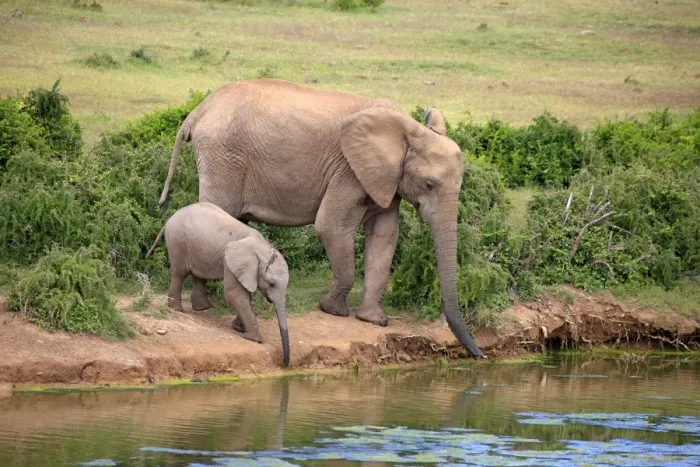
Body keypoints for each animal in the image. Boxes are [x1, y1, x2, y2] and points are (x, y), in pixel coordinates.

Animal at [147, 201, 290, 366]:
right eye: (271, 283)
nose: (285, 363)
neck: (262, 247)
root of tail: (173, 215)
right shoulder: (232, 262)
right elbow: (233, 293)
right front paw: (254, 339)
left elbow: (243, 293)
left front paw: (239, 328)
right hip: (177, 240)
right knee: (179, 274)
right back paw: (177, 309)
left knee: (199, 274)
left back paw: (202, 308)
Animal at [157, 78, 485, 358]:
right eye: (429, 185)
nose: (480, 354)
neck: (409, 130)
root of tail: (199, 110)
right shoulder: (349, 170)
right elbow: (331, 225)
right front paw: (333, 310)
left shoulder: (387, 179)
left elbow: (384, 236)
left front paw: (373, 320)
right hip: (222, 156)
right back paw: (204, 307)